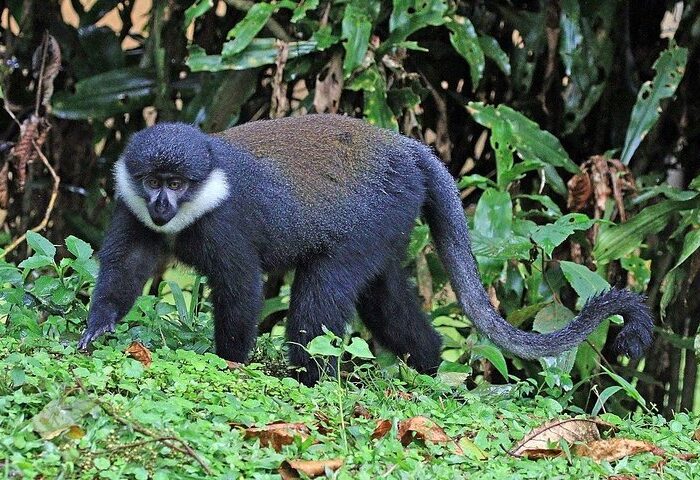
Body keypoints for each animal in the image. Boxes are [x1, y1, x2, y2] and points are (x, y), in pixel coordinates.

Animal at [79, 114, 652, 384]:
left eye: (176, 182)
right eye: (153, 180)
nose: (161, 202)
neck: (197, 199)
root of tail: (409, 148)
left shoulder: (226, 227)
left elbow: (241, 291)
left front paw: (229, 366)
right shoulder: (132, 209)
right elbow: (126, 268)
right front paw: (96, 328)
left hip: (371, 223)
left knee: (319, 300)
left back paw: (311, 380)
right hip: (391, 228)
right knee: (385, 300)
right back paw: (429, 365)